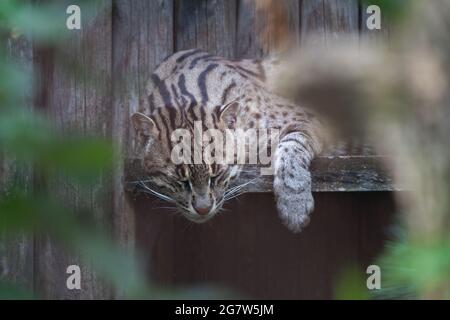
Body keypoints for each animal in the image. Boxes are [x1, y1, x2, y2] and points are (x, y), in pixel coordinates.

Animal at [130, 48, 324, 232]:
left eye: (216, 175)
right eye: (180, 181)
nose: (203, 210)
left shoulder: (308, 119)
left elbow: (292, 146)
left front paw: (295, 204)